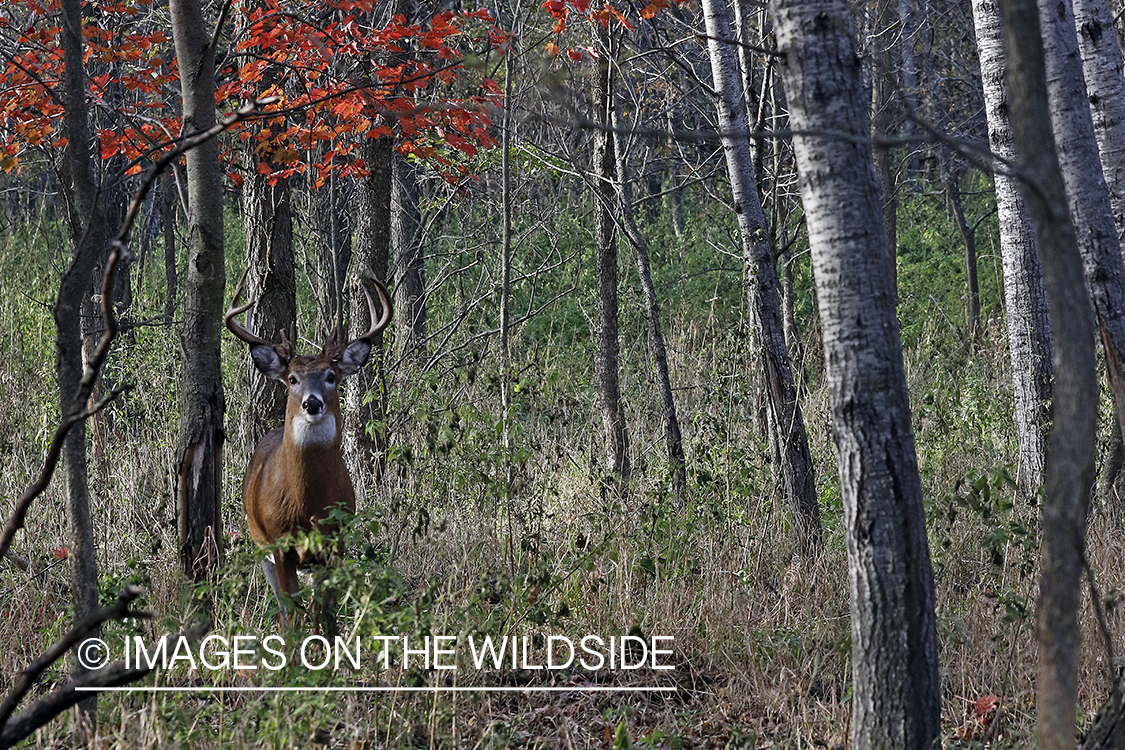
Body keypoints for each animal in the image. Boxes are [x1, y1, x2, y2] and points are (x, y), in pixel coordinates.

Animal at [223, 270, 391, 634]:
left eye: (331, 376)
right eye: (292, 378)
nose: (312, 403)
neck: (305, 505)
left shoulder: (334, 544)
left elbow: (325, 616)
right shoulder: (280, 545)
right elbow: (294, 615)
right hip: (260, 545)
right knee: (283, 610)